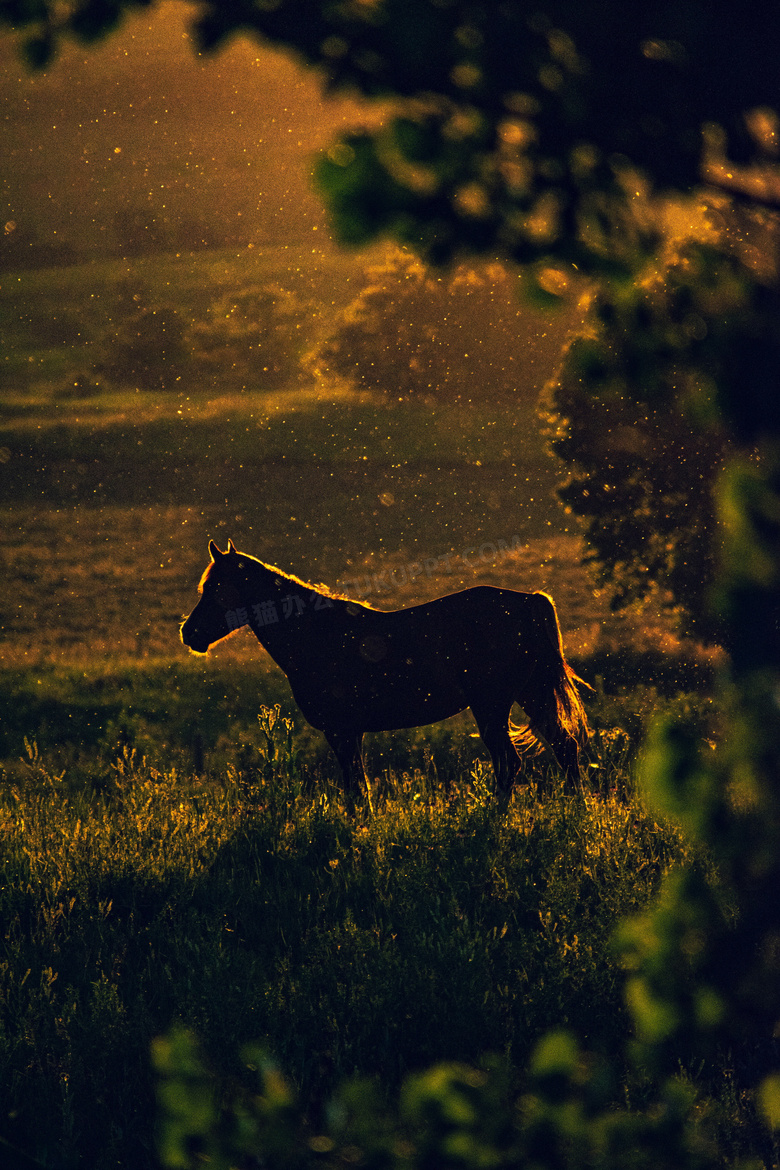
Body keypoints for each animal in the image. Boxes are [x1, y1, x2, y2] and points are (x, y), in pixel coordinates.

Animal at [180, 540, 589, 800]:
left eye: (217, 588)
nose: (189, 633)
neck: (317, 635)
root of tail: (529, 601)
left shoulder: (342, 732)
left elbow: (355, 790)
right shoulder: (350, 733)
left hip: (492, 706)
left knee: (510, 763)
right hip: (531, 695)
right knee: (565, 750)